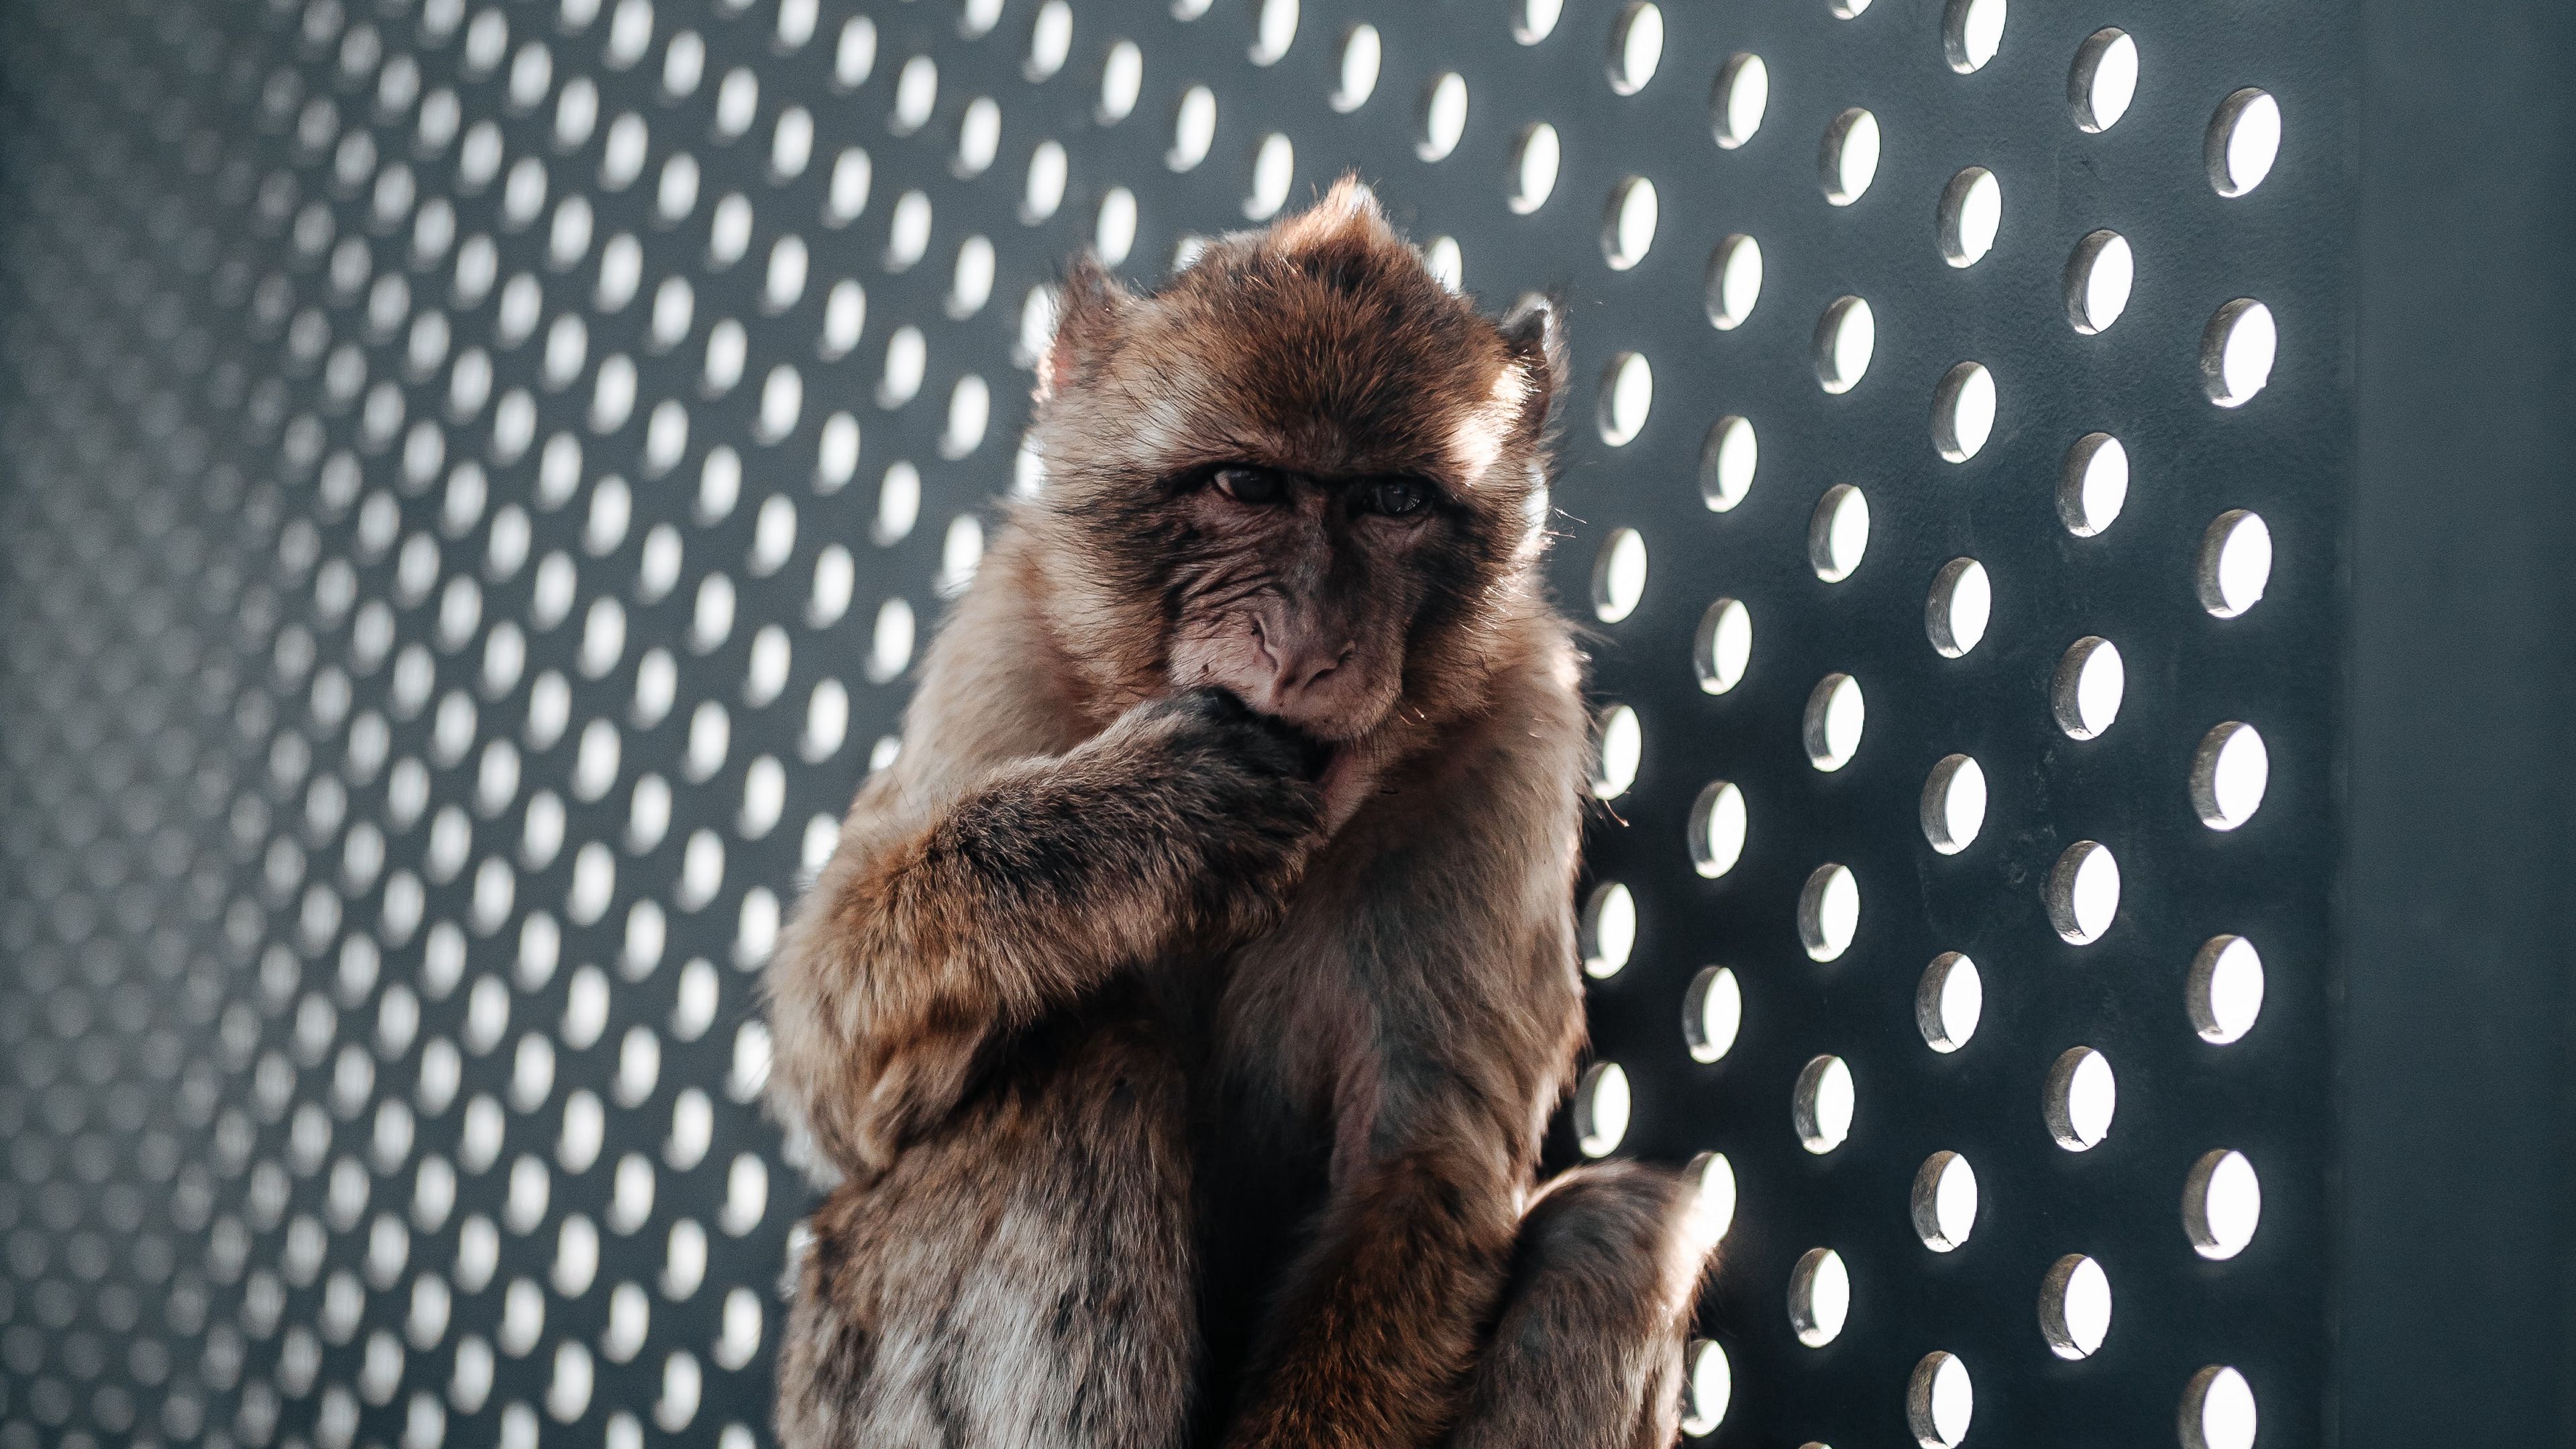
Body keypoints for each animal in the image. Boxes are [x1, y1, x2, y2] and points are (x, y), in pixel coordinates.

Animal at [763, 178, 1716, 1449]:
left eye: (1395, 501)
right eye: (1246, 486)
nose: (1309, 642)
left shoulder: (1518, 744)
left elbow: (1420, 1165)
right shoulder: (1001, 648)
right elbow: (826, 1086)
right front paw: (1146, 819)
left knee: (1616, 1228)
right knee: (1088, 1067)